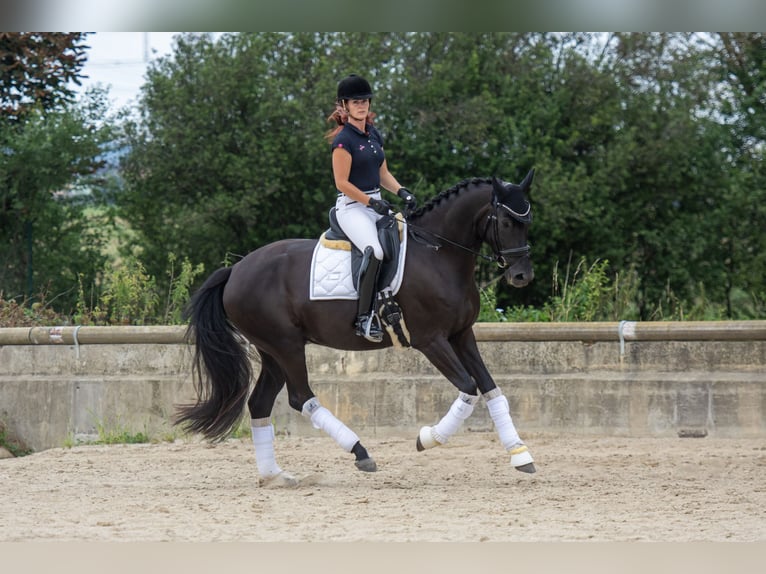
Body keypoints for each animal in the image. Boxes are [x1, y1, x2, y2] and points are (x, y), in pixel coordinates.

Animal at [178, 170, 540, 486]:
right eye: (506, 222)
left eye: (528, 222)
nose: (522, 276)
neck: (439, 254)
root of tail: (235, 270)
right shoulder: (431, 340)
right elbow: (468, 387)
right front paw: (428, 438)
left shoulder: (462, 335)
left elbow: (491, 389)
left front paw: (520, 454)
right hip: (286, 345)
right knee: (300, 397)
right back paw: (360, 452)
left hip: (272, 352)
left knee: (260, 403)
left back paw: (275, 476)